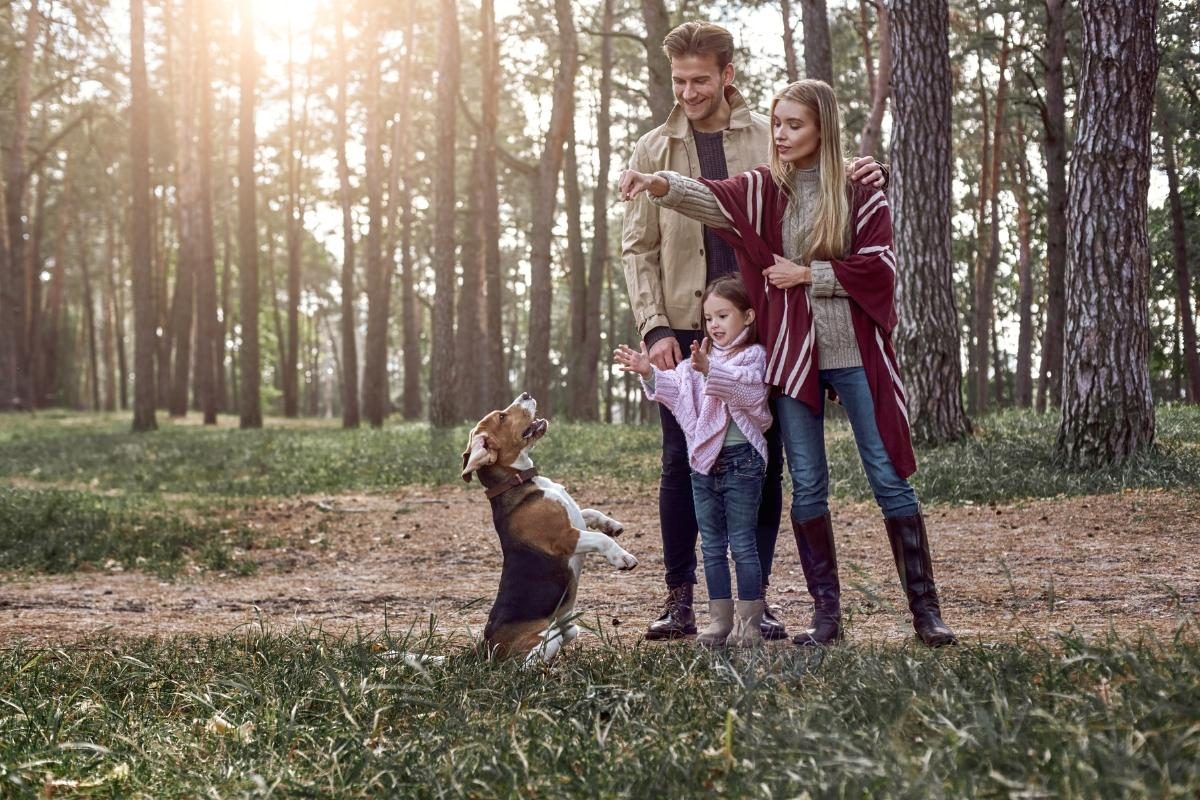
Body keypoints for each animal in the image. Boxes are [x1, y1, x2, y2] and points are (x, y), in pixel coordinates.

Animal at [460, 393, 638, 662]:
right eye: (502, 417)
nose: (526, 395)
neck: (517, 481)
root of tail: (485, 647)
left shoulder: (575, 520)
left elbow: (589, 513)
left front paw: (611, 524)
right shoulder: (565, 538)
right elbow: (600, 539)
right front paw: (622, 557)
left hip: (565, 629)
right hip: (548, 633)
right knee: (527, 663)